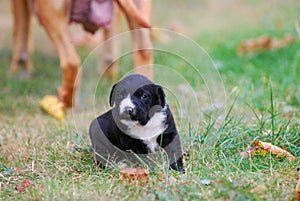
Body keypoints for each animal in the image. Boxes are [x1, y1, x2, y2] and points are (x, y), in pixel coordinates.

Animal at [10, 0, 154, 108]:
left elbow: (21, 32)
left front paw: (19, 71)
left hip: (48, 12)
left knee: (71, 62)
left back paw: (66, 101)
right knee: (143, 53)